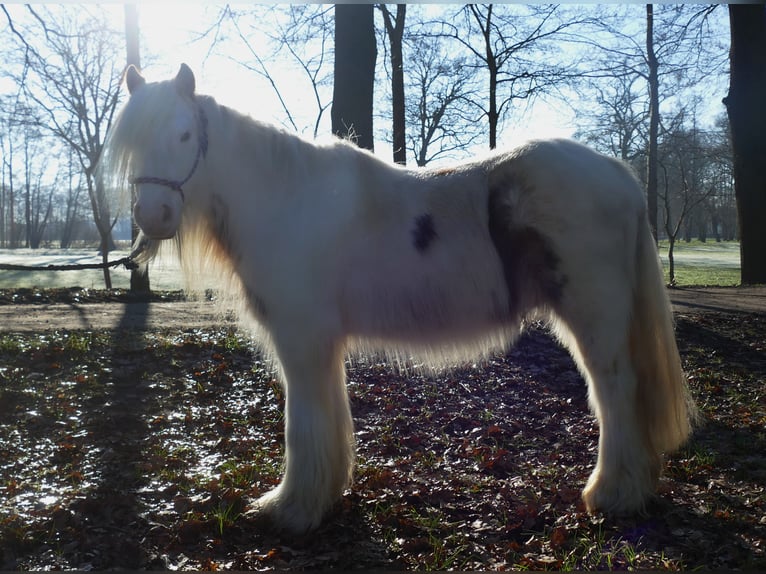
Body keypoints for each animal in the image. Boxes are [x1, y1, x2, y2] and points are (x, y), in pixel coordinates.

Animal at [100, 64, 696, 536]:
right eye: (133, 143)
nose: (153, 215)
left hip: (594, 319)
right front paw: (325, 495)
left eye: (183, 134)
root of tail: (616, 174)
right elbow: (329, 414)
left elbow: (302, 421)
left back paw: (613, 494)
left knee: (616, 392)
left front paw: (292, 508)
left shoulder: (301, 338)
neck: (286, 199)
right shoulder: (321, 345)